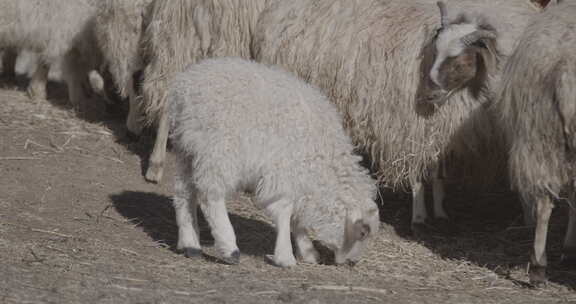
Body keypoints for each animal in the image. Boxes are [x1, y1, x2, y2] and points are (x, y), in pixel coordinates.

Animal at [169, 58, 380, 268]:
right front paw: (285, 256)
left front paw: (308, 251)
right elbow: (284, 211)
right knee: (210, 195)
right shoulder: (282, 172)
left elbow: (297, 217)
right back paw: (230, 248)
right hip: (218, 149)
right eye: (362, 232)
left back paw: (190, 244)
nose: (352, 262)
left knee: (183, 192)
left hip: (186, 149)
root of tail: (185, 88)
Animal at [251, 0, 536, 232]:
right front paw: (419, 217)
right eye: (433, 51)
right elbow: (418, 177)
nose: (428, 94)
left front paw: (440, 210)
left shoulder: (441, 133)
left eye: (461, 60)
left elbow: (438, 173)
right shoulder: (410, 128)